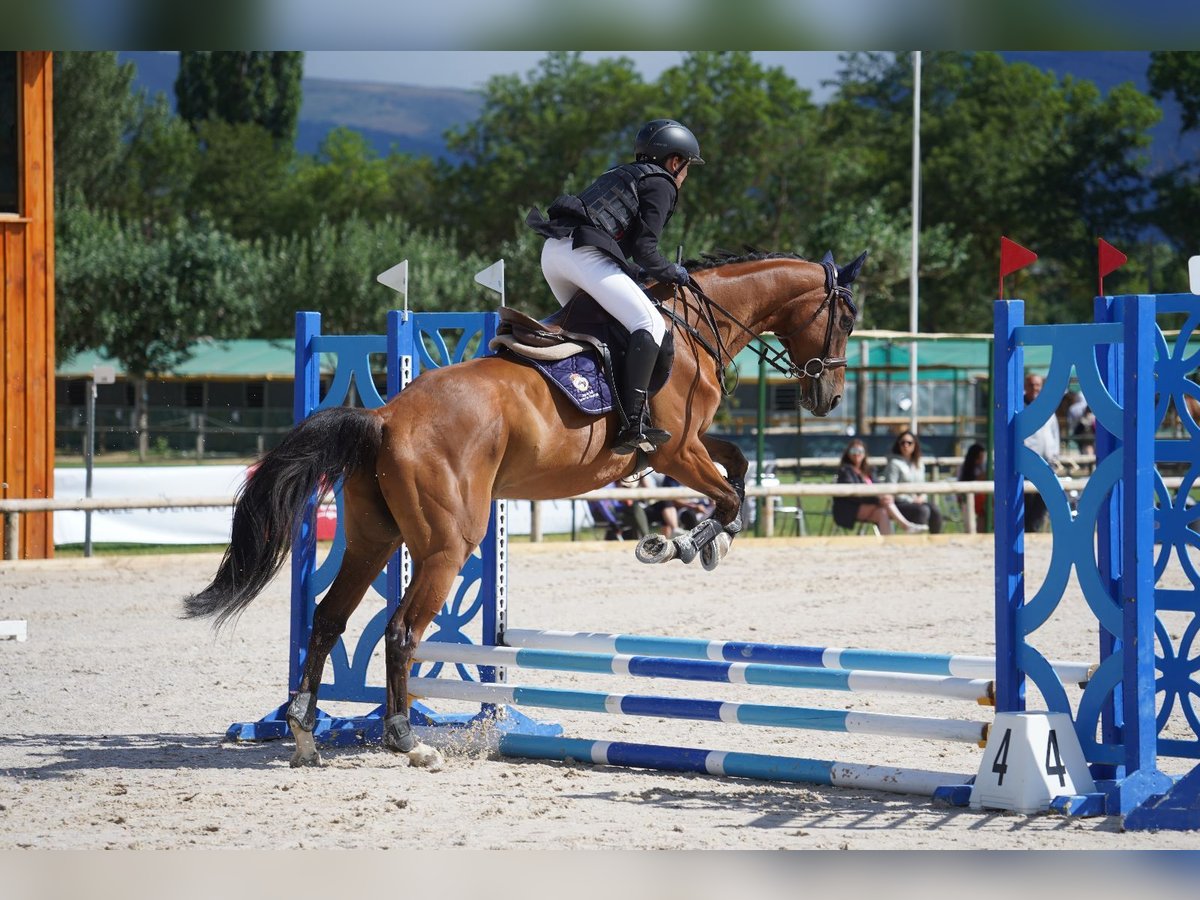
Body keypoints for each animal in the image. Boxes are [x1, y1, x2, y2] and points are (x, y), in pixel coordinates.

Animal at [182, 247, 868, 768]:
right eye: (846, 318)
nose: (829, 397)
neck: (694, 327)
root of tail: (383, 416)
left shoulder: (689, 445)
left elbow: (741, 468)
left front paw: (699, 542)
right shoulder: (675, 448)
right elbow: (729, 495)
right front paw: (680, 544)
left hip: (376, 539)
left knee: (327, 618)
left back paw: (304, 732)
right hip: (448, 545)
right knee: (402, 631)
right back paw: (406, 740)